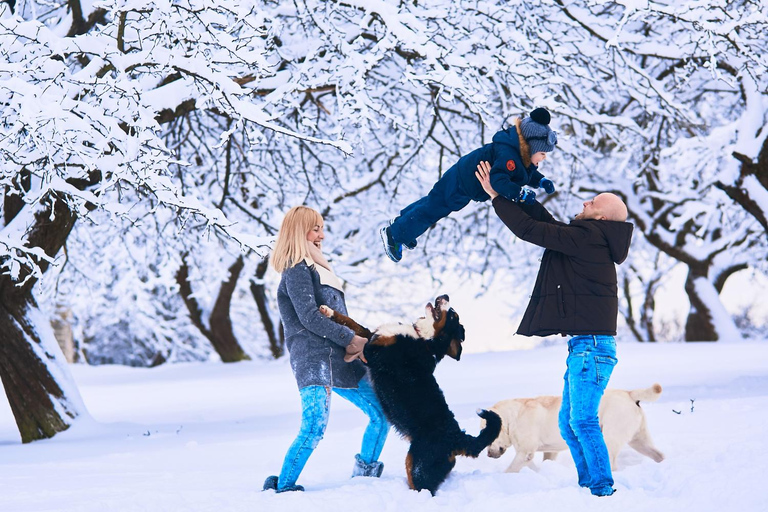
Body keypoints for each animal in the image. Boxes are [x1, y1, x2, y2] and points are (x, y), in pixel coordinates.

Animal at [488, 384, 664, 472]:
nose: (488, 454)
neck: (512, 417)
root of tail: (629, 393)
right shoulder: (548, 451)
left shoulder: (525, 451)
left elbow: (512, 468)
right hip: (639, 440)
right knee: (659, 455)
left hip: (611, 437)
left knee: (611, 463)